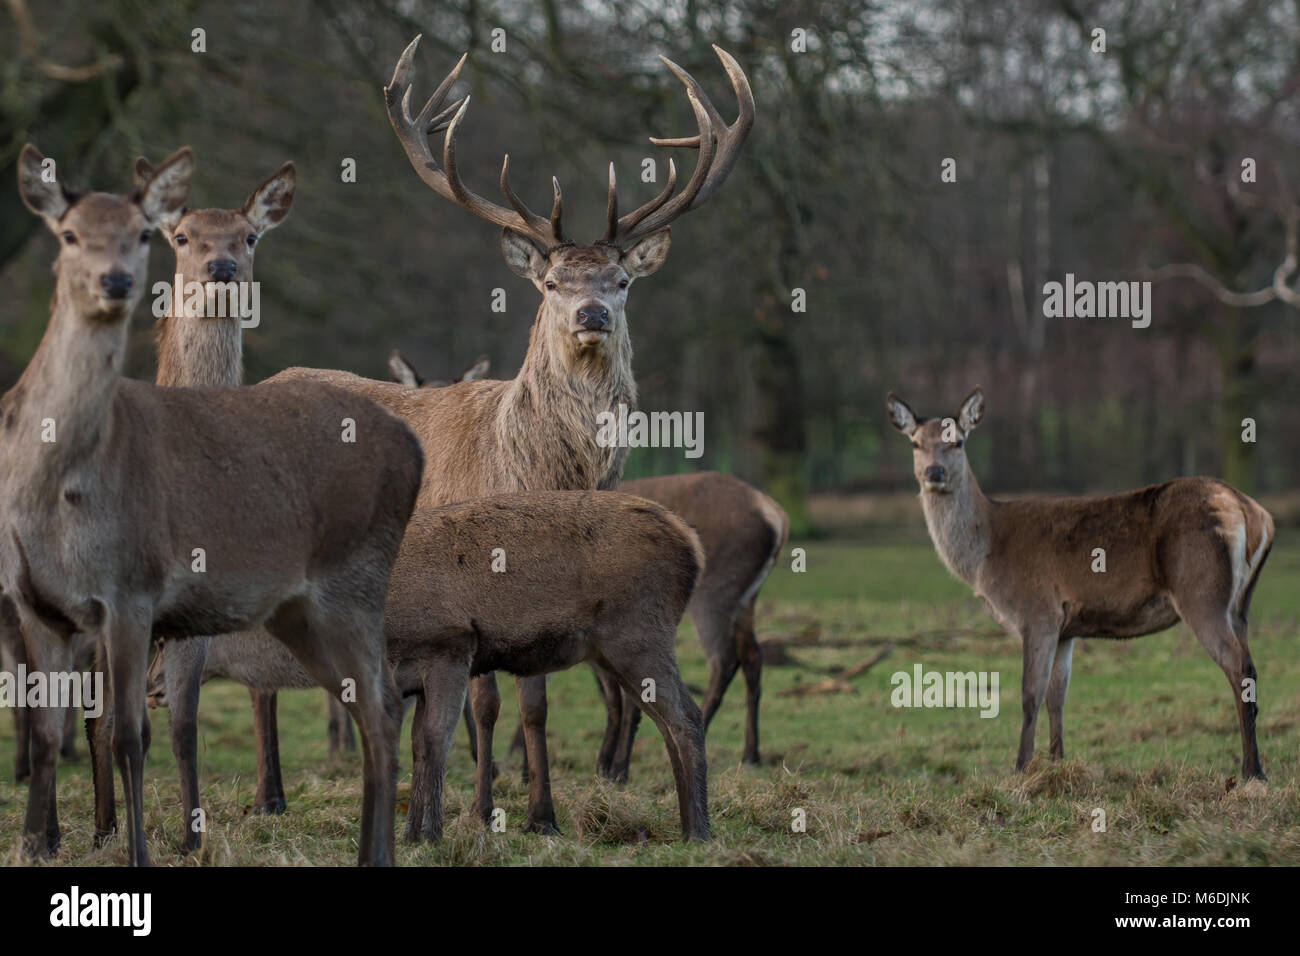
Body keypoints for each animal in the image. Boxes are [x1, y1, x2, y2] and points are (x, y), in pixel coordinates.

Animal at [2, 144, 423, 865]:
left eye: (248, 236)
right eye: (182, 236)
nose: (221, 269)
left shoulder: (186, 621)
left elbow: (182, 724)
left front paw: (191, 833)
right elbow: (108, 722)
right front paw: (108, 832)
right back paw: (65, 826)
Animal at [145, 490, 711, 843]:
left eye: (165, 633)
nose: (151, 688)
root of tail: (692, 545)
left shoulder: (450, 647)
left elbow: (436, 741)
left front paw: (430, 832)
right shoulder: (407, 677)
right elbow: (416, 744)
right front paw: (414, 830)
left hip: (638, 634)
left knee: (687, 715)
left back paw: (699, 829)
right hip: (619, 649)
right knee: (668, 721)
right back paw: (686, 822)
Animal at [388, 351, 788, 775]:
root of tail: (775, 514)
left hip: (713, 593)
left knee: (719, 661)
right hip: (745, 599)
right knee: (752, 657)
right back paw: (749, 752)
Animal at [885, 387, 1275, 779]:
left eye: (958, 441)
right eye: (916, 443)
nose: (934, 472)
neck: (987, 553)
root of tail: (1253, 513)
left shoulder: (1037, 611)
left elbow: (1030, 694)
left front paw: (1020, 769)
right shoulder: (1066, 628)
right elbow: (1057, 696)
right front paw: (1057, 765)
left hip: (1201, 592)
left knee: (1239, 668)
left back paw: (1251, 770)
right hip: (1240, 605)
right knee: (1251, 665)